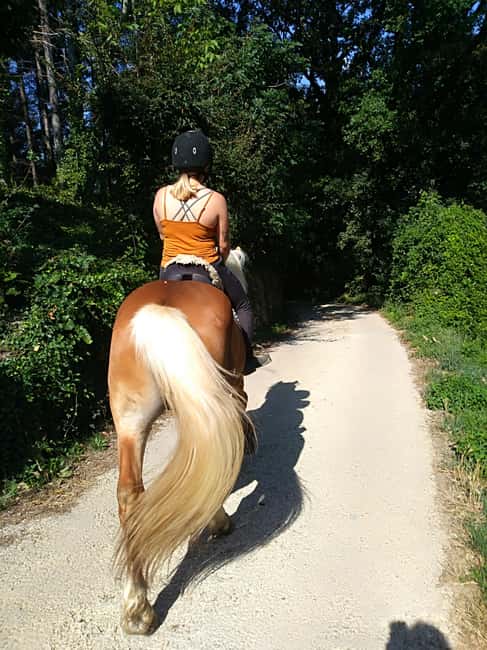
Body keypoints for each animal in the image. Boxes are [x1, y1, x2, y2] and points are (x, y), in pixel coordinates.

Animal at [108, 249, 254, 635]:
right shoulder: (235, 391)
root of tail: (159, 311)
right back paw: (219, 523)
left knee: (129, 493)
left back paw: (138, 612)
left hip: (130, 422)